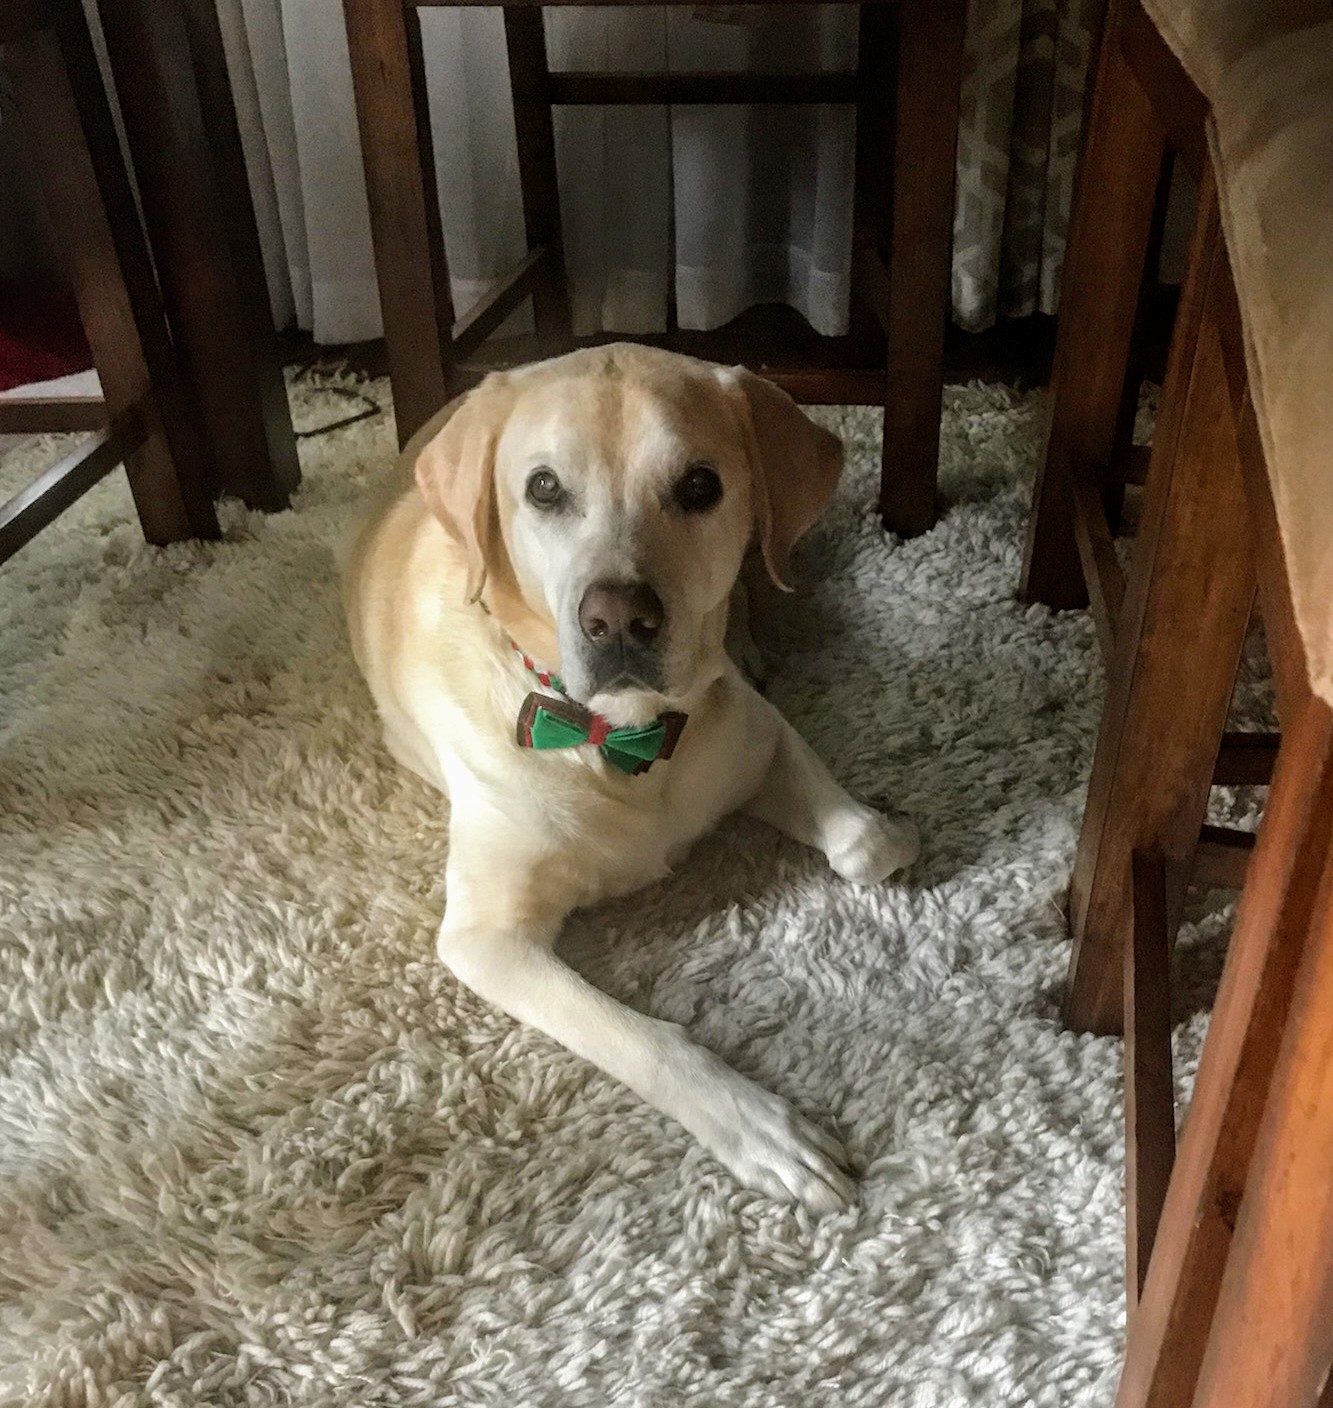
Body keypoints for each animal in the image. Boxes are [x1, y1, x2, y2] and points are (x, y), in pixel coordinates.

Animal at [346, 343, 917, 1210]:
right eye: (544, 488)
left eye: (700, 486)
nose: (617, 619)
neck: (620, 738)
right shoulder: (486, 937)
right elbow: (640, 1038)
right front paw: (759, 1127)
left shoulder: (756, 734)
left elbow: (865, 848)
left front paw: (886, 831)